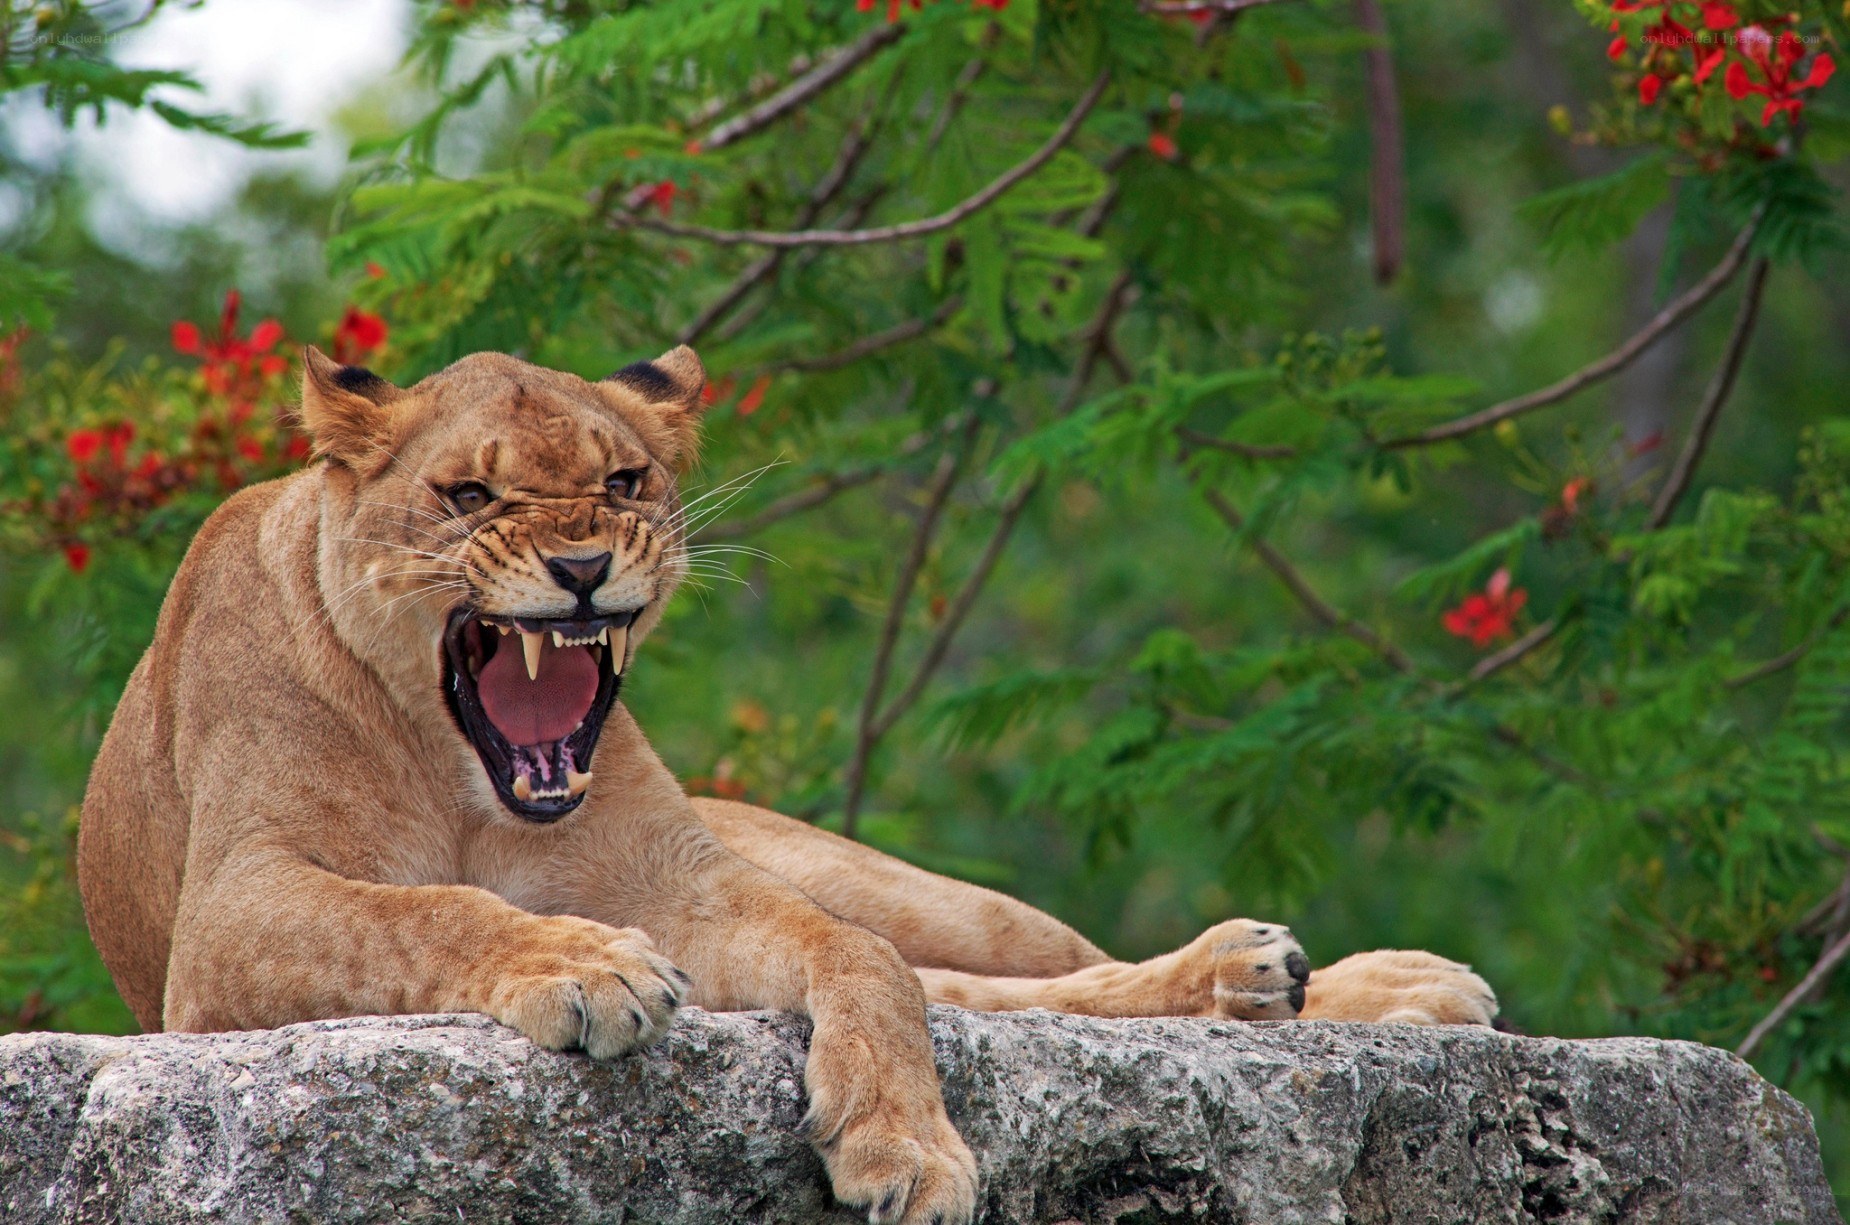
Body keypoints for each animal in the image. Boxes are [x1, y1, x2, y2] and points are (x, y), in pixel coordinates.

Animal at [78, 345, 1497, 1225]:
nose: (583, 566)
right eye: (468, 493)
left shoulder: (681, 880)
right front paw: (581, 965)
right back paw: (1277, 981)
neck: (460, 772)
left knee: (1009, 962)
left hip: (901, 883)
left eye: (624, 481)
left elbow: (859, 962)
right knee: (993, 987)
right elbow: (429, 909)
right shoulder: (230, 916)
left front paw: (904, 1144)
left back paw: (1345, 982)